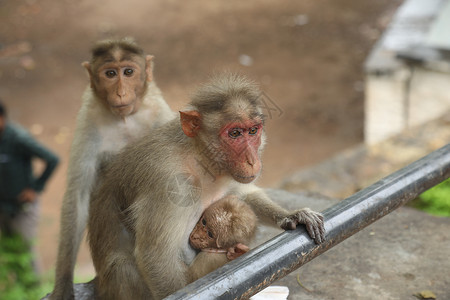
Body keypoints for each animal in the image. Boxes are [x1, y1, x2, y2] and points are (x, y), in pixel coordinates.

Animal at [50, 38, 174, 300]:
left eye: (128, 72)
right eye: (110, 74)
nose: (120, 92)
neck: (126, 119)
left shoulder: (159, 111)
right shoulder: (88, 120)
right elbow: (78, 197)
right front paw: (63, 283)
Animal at [88, 73, 326, 300]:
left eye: (253, 131)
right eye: (234, 133)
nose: (251, 160)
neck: (199, 158)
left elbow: (242, 196)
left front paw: (294, 215)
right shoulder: (169, 184)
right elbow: (156, 258)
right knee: (123, 267)